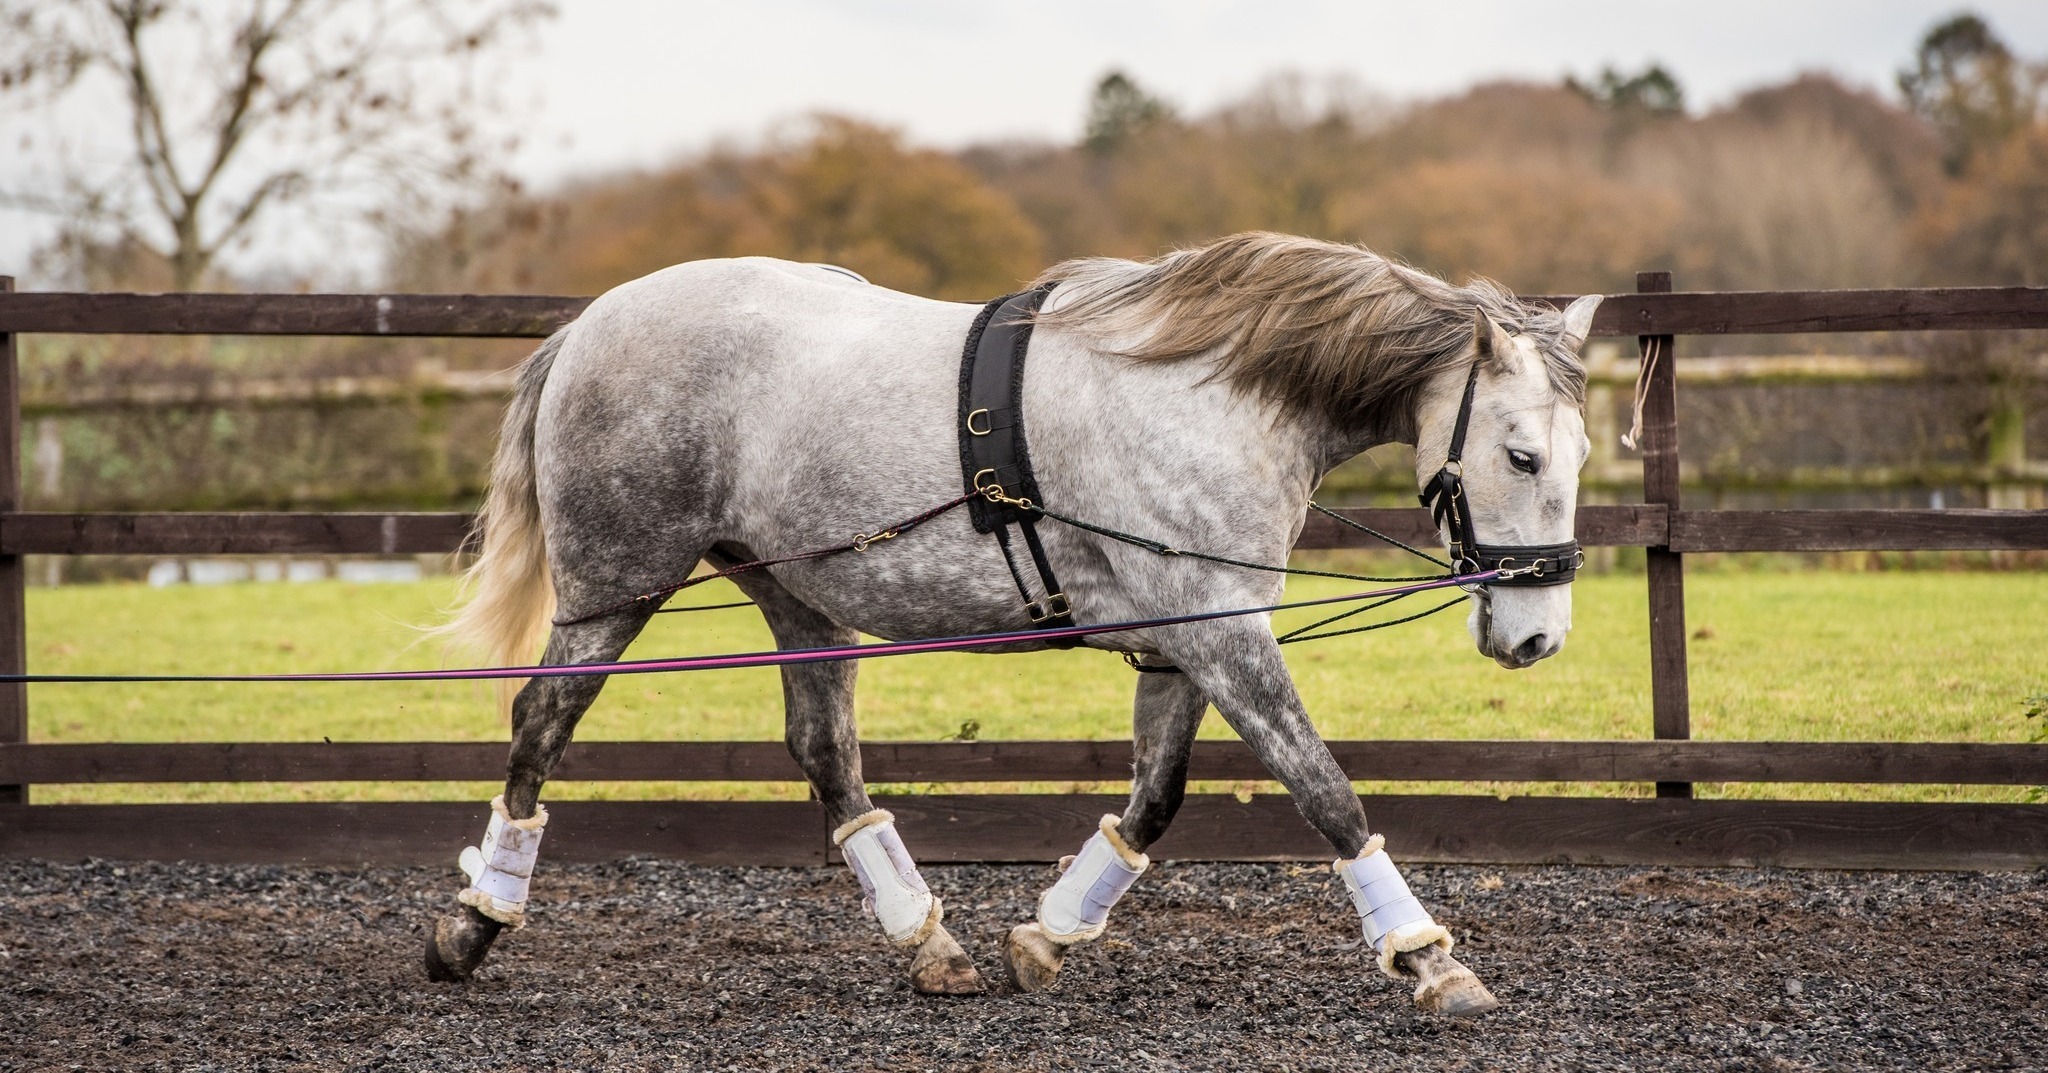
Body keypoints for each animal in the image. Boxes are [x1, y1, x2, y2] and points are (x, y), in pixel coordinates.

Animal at [423, 231, 1601, 1017]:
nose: (1537, 636)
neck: (1210, 396)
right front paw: (1427, 956)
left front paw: (1048, 933)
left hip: (797, 596)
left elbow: (1156, 798)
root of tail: (593, 322)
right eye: (1520, 454)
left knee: (824, 750)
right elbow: (1324, 788)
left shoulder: (1185, 640)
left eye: (1584, 453)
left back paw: (926, 940)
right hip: (616, 583)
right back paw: (473, 922)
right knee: (540, 724)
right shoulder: (1222, 636)